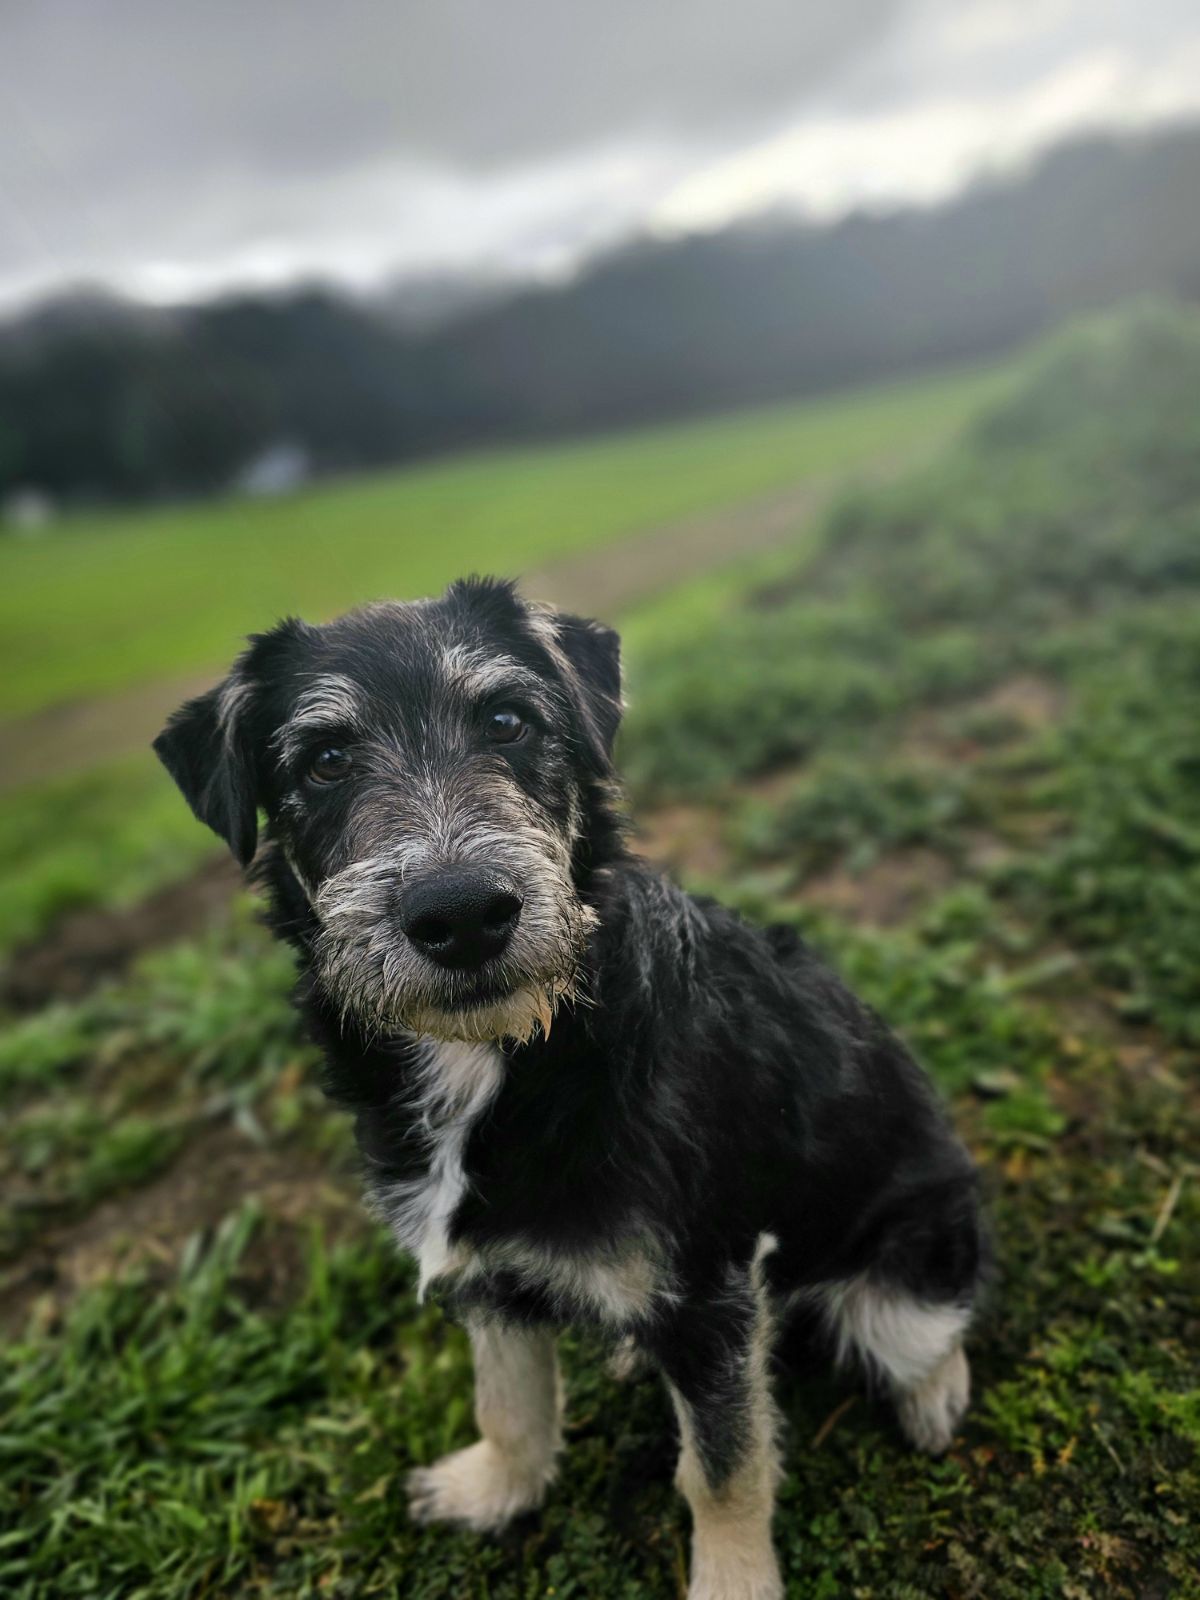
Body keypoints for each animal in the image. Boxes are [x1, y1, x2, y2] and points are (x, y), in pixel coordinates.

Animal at [155, 579, 985, 1600]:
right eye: (325, 761)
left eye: (508, 720)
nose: (463, 914)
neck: (514, 1056)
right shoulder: (485, 1275)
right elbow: (508, 1401)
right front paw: (494, 1490)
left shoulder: (708, 1291)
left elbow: (722, 1468)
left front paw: (732, 1580)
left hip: (902, 1270)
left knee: (933, 1330)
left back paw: (935, 1394)